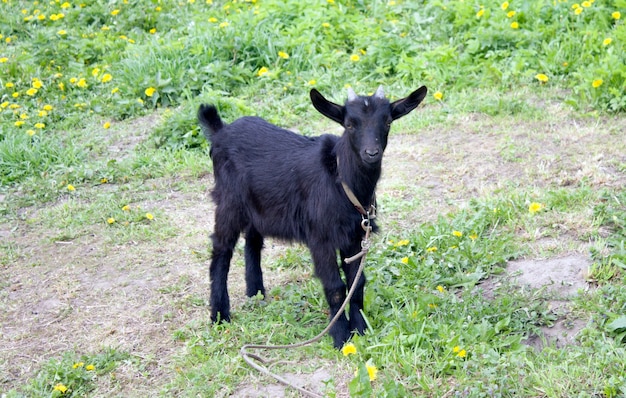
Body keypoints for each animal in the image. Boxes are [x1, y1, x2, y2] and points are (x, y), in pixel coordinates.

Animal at [197, 85, 426, 346]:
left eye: (387, 122)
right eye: (350, 124)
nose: (371, 153)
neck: (341, 179)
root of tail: (221, 132)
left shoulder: (354, 236)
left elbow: (357, 283)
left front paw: (360, 329)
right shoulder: (321, 237)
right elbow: (335, 287)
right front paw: (340, 337)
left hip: (259, 206)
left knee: (253, 241)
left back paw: (256, 294)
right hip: (229, 203)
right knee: (221, 251)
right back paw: (219, 315)